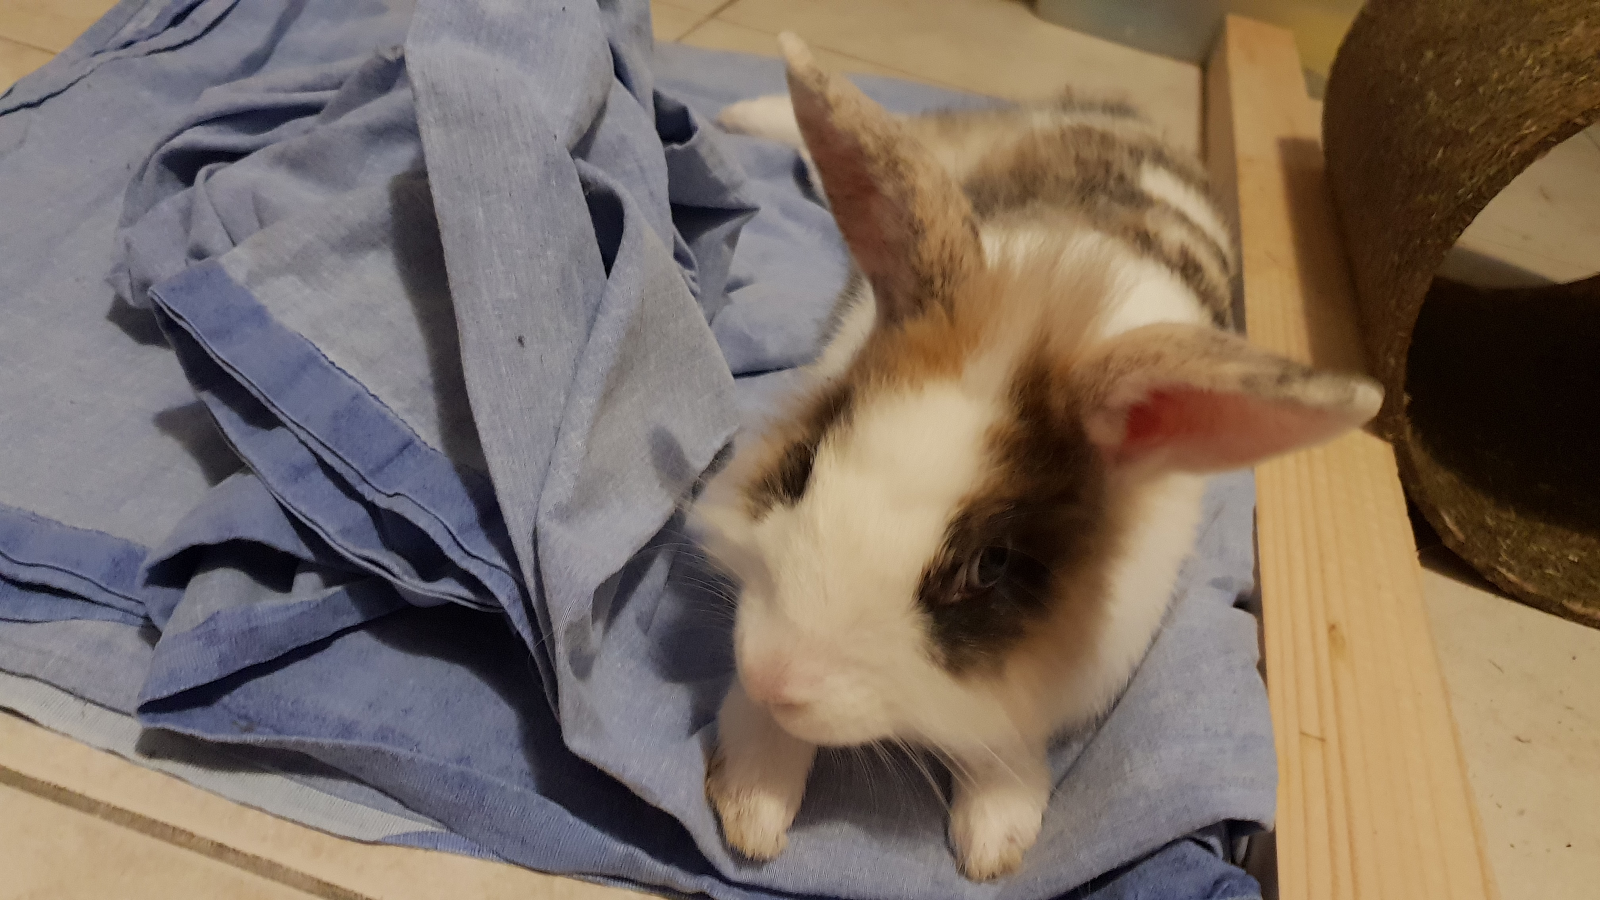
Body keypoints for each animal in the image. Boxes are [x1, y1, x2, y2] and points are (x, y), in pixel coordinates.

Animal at [690, 33, 1382, 882]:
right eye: (807, 464)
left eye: (990, 566)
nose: (777, 673)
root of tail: (1126, 119)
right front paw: (752, 805)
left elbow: (998, 743)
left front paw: (996, 840)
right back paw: (739, 110)